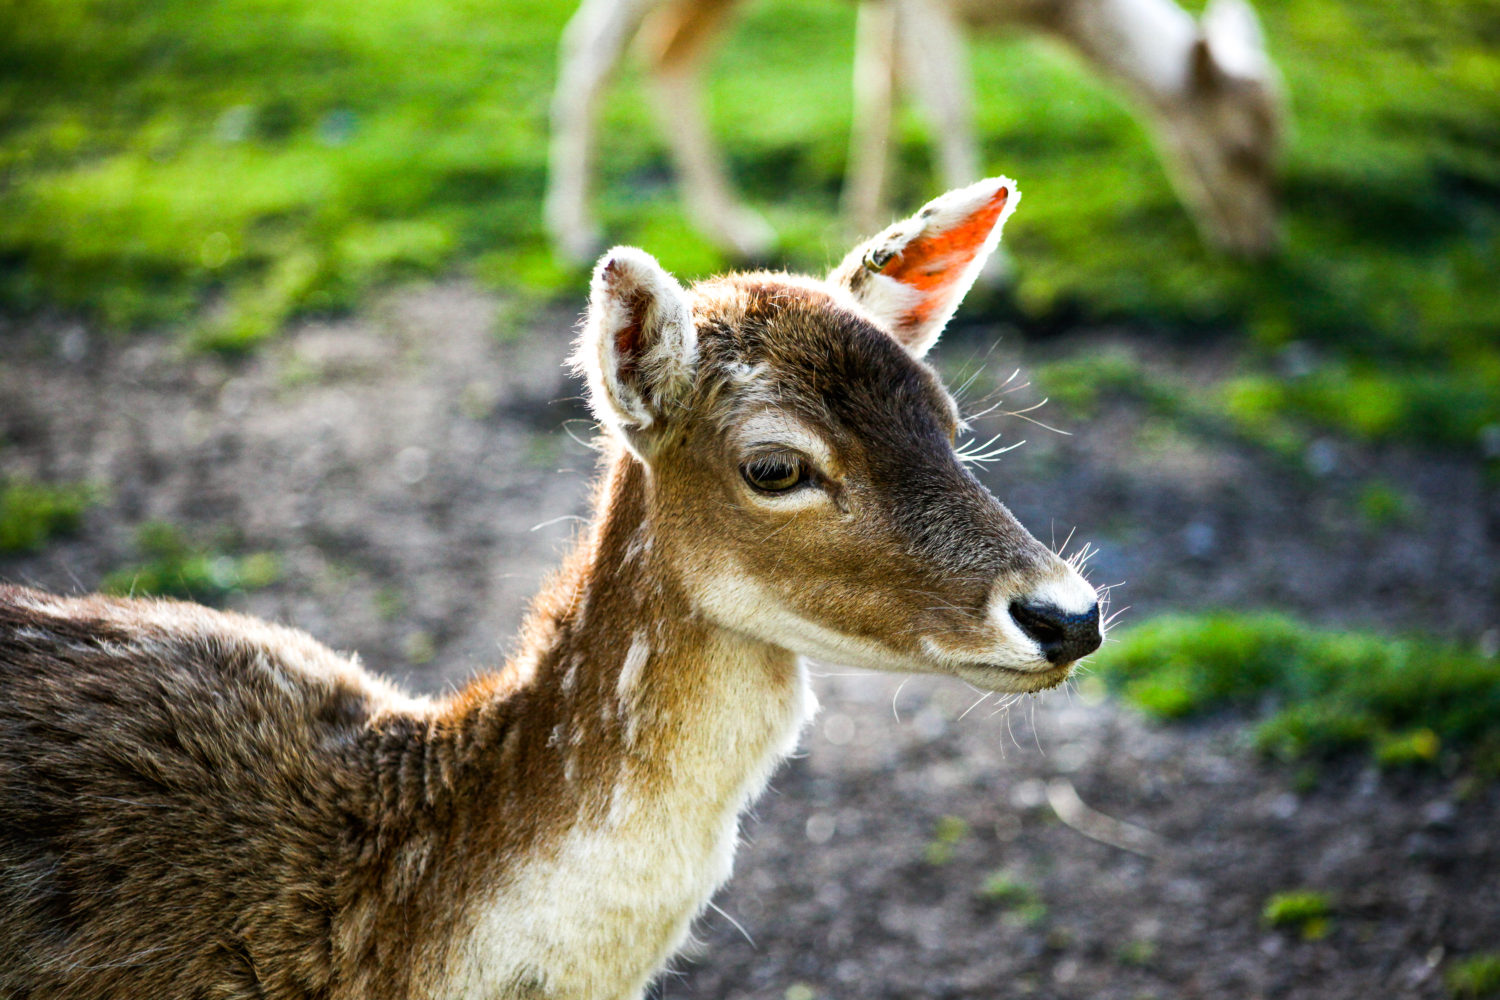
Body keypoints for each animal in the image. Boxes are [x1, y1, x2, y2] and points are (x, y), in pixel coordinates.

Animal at [545, 0, 1283, 264]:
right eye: (1237, 150)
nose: (1259, 247)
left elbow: (882, 88)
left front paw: (864, 223)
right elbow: (944, 103)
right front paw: (999, 269)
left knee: (670, 58)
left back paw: (734, 228)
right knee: (592, 48)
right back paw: (575, 231)